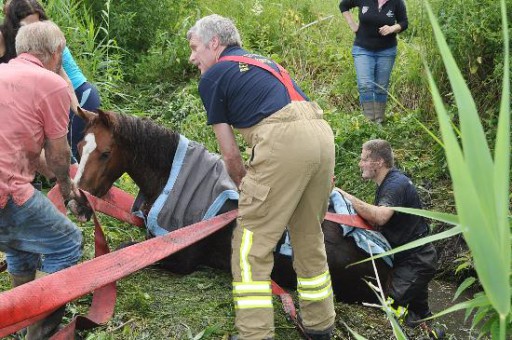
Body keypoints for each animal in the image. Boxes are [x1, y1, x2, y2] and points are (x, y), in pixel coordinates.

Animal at [74, 109, 390, 302]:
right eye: (78, 147)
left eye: (105, 153)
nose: (77, 201)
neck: (172, 176)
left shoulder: (180, 259)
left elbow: (122, 251)